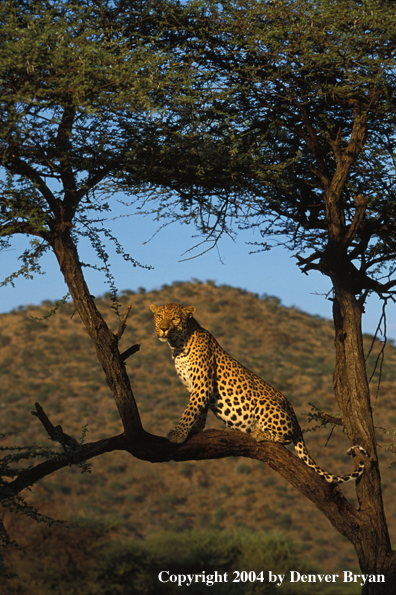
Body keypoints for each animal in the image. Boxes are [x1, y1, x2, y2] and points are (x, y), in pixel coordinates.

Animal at [151, 302, 368, 484]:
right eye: (159, 316)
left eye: (175, 318)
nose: (163, 328)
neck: (177, 345)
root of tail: (294, 413)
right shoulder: (195, 387)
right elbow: (198, 410)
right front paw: (195, 429)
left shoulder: (202, 384)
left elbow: (190, 410)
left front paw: (178, 433)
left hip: (265, 404)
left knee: (287, 436)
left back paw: (260, 433)